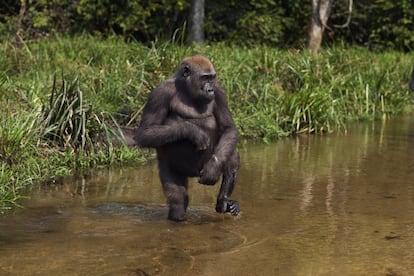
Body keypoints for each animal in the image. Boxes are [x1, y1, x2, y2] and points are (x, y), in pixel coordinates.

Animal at [135, 55, 239, 221]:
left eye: (212, 78)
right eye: (205, 78)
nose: (210, 89)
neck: (186, 87)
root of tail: (194, 174)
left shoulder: (219, 91)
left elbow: (228, 129)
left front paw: (213, 168)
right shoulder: (160, 92)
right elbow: (145, 132)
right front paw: (192, 131)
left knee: (230, 152)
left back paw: (223, 200)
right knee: (178, 201)